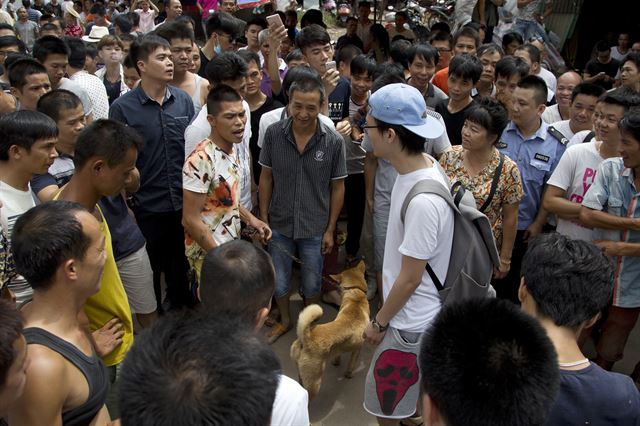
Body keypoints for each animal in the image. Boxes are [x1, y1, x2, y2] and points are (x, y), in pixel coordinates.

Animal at [290, 260, 370, 400]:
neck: (356, 295)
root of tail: (306, 336)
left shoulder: (340, 347)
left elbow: (338, 354)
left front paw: (337, 362)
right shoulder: (357, 349)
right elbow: (351, 364)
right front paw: (349, 374)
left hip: (301, 373)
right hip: (315, 382)